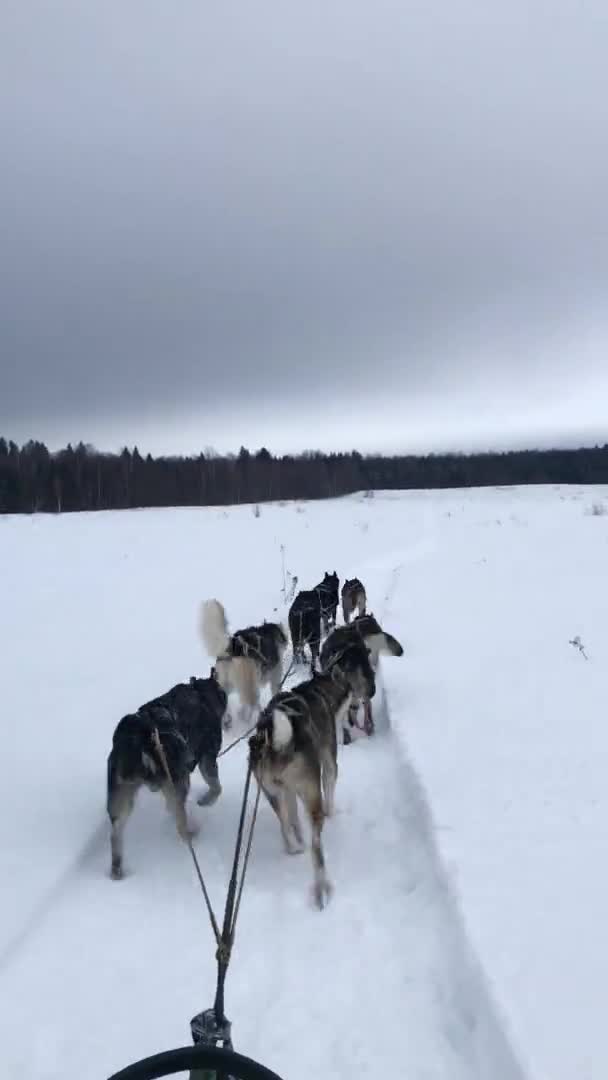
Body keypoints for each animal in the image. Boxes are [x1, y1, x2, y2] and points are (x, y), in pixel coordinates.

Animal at [105, 673, 226, 876]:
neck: (200, 693)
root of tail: (140, 742)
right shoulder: (207, 757)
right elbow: (216, 786)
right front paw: (207, 800)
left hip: (120, 796)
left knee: (115, 833)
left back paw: (116, 868)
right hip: (179, 783)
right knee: (180, 822)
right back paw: (191, 834)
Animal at [247, 673, 352, 911]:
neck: (317, 690)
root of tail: (276, 741)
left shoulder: (288, 789)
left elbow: (293, 815)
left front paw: (297, 836)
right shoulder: (329, 764)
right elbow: (330, 788)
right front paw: (333, 812)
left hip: (272, 792)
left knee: (285, 822)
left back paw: (294, 846)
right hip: (312, 798)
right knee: (316, 848)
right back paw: (321, 888)